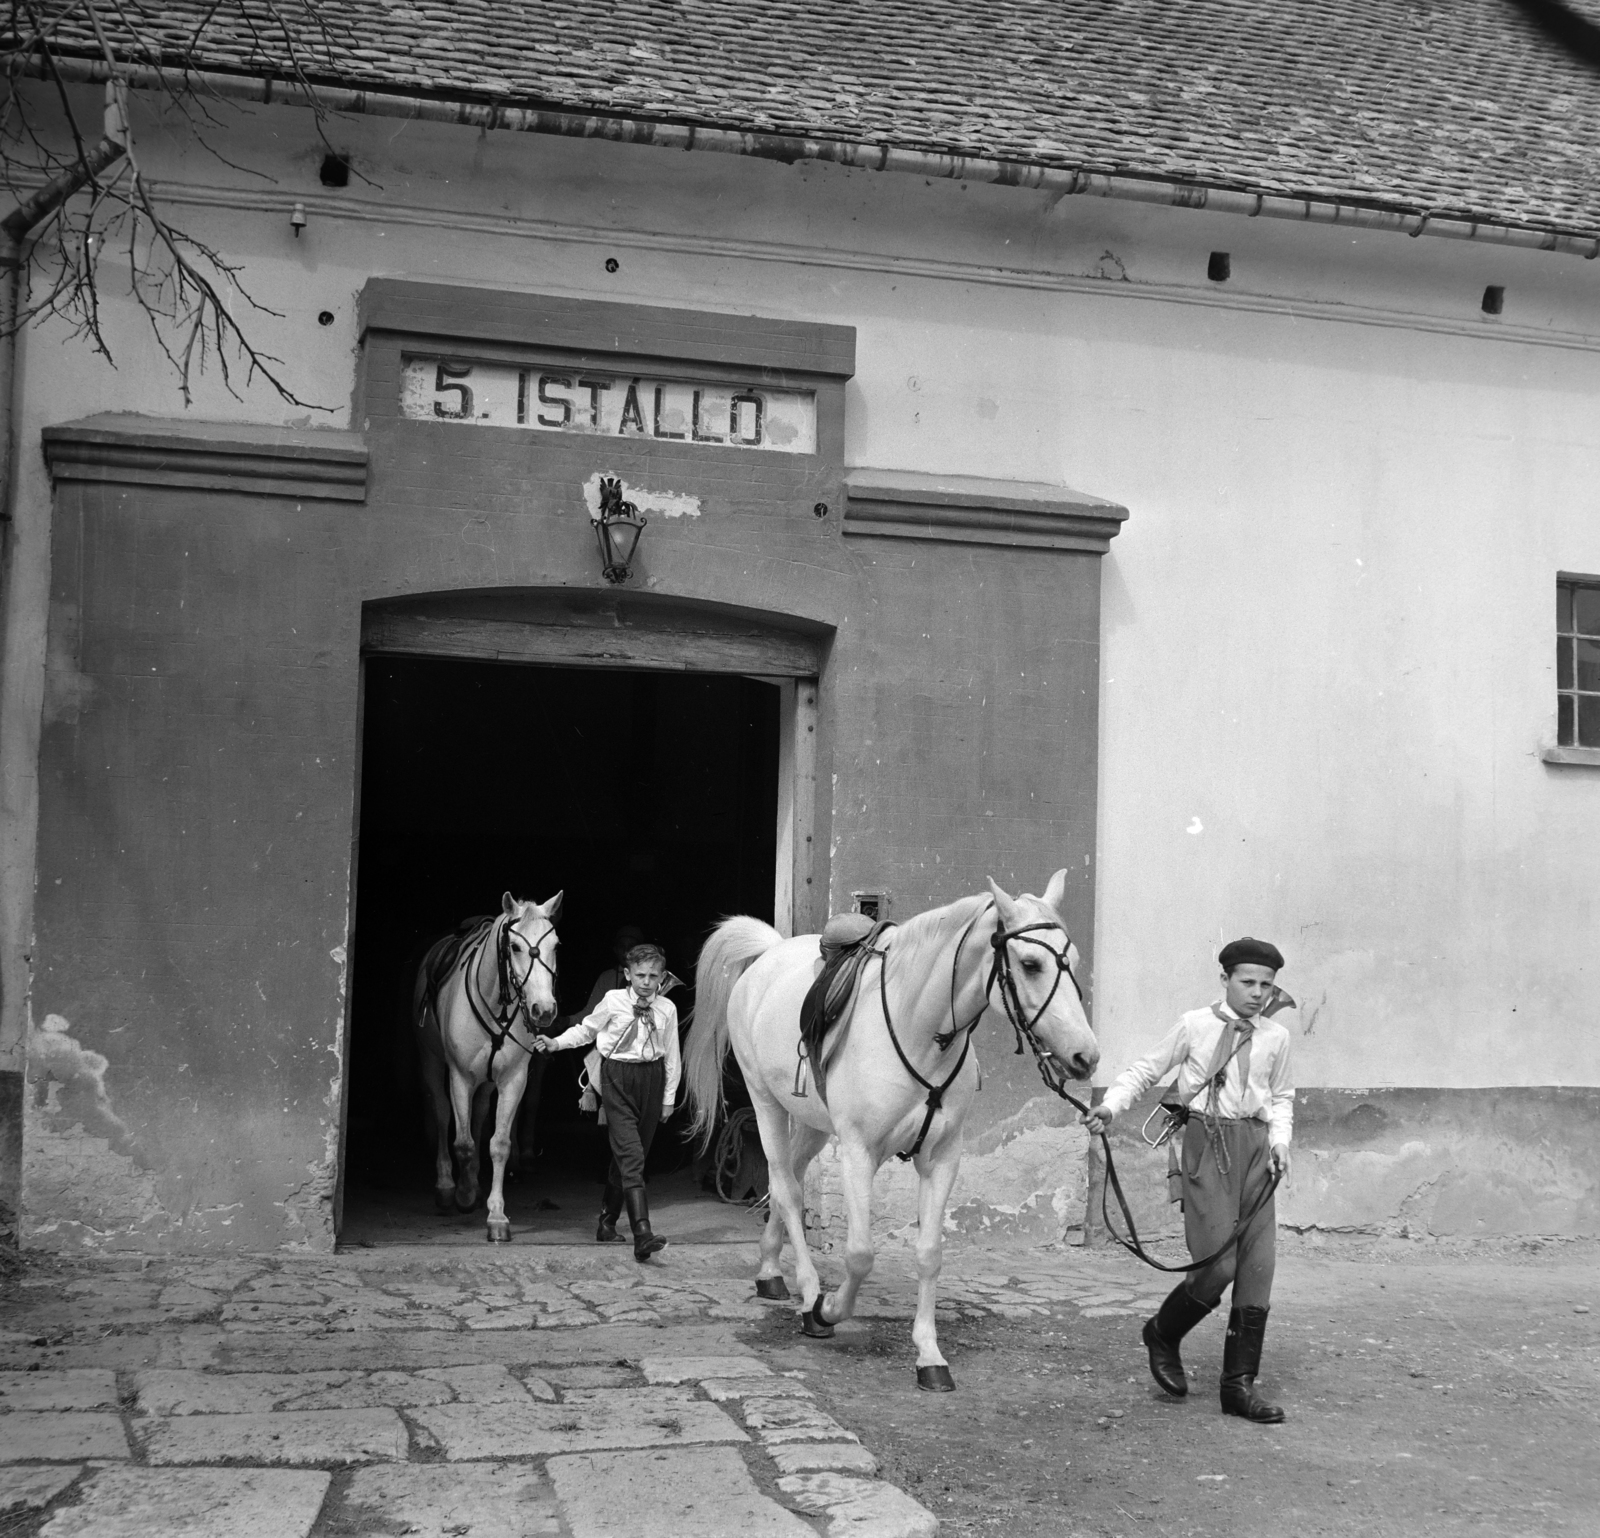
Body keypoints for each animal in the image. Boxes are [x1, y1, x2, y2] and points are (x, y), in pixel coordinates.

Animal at [416, 896, 566, 1241]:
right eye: (515, 947)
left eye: (556, 945)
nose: (544, 1010)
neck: (496, 1004)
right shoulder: (460, 1077)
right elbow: (463, 1143)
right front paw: (464, 1195)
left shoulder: (513, 1079)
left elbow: (497, 1143)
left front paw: (496, 1215)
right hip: (432, 1062)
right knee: (442, 1114)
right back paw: (447, 1185)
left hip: (485, 1082)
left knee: (481, 1113)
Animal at [681, 870, 1094, 1389]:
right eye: (1031, 963)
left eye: (1074, 960)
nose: (1086, 1056)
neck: (920, 1031)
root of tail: (770, 954)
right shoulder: (859, 1152)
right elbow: (860, 1253)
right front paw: (828, 1310)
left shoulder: (942, 1157)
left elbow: (930, 1253)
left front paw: (929, 1355)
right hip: (765, 1103)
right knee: (786, 1188)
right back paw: (809, 1292)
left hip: (814, 1124)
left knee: (788, 1179)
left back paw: (772, 1270)